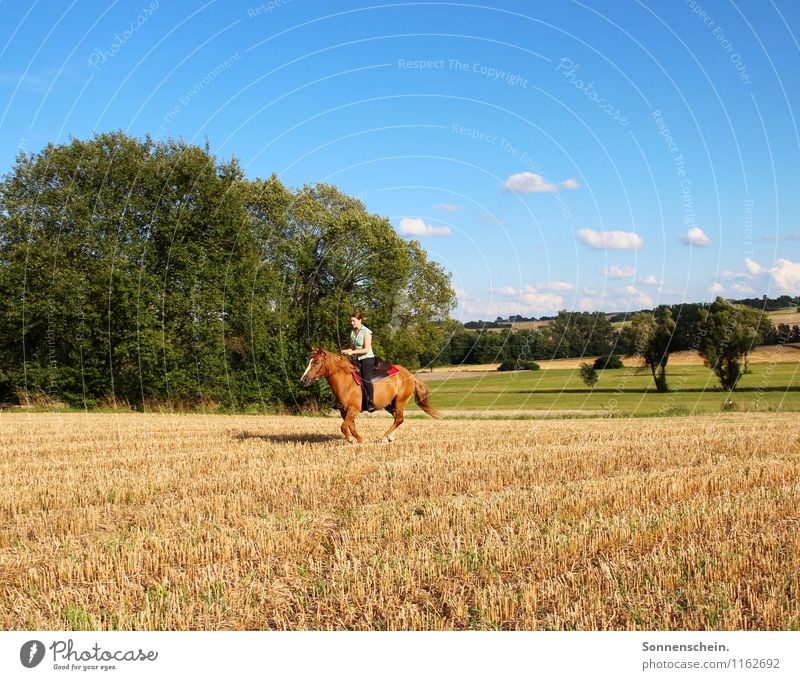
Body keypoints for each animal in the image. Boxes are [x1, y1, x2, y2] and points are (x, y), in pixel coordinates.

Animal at [300, 348, 440, 444]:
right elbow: (351, 427)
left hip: (400, 401)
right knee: (397, 418)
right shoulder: (344, 411)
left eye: (316, 362)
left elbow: (344, 427)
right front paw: (359, 440)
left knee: (399, 419)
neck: (346, 382)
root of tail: (411, 375)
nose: (304, 379)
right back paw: (390, 437)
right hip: (390, 405)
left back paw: (384, 437)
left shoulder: (353, 410)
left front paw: (352, 440)